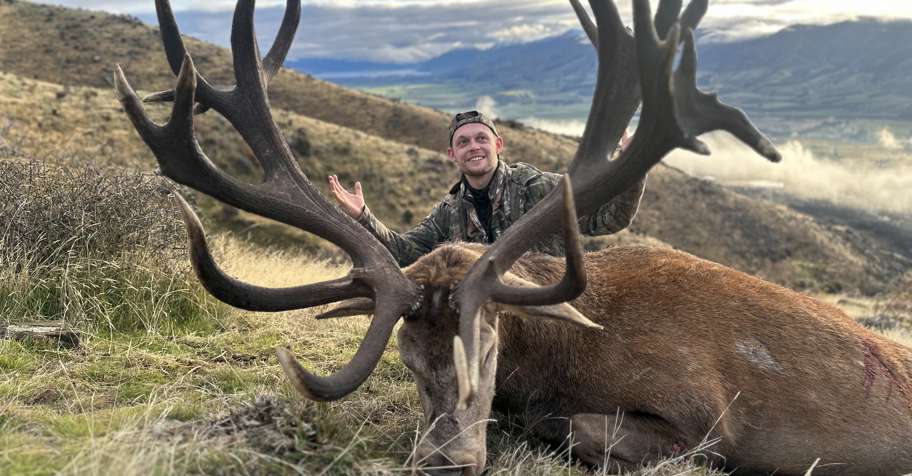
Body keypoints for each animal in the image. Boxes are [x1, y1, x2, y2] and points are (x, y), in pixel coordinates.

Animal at [114, 0, 912, 474]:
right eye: (406, 359)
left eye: (490, 346)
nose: (447, 460)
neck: (562, 352)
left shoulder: (704, 416)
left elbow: (581, 426)